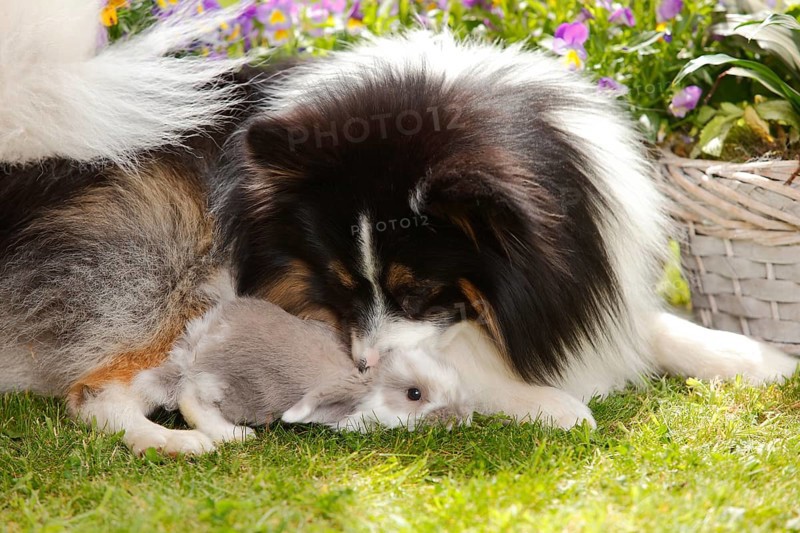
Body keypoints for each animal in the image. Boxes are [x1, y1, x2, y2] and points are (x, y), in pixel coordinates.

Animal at [132, 297, 471, 453]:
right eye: (415, 394)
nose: (462, 417)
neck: (369, 386)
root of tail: (199, 345)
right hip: (236, 389)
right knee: (190, 397)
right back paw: (235, 435)